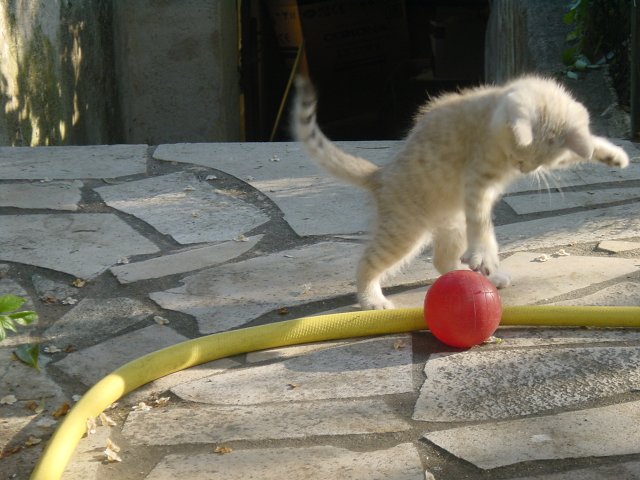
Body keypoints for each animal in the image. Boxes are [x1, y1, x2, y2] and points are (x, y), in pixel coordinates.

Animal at [294, 74, 632, 308]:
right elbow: (482, 225)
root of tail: (381, 175)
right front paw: (485, 254)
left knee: (443, 263)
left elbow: (587, 146)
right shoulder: (477, 181)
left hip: (453, 225)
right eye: (518, 157)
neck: (492, 111)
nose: (524, 170)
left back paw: (485, 277)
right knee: (368, 263)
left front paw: (614, 155)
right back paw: (372, 300)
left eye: (538, 163)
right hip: (404, 232)